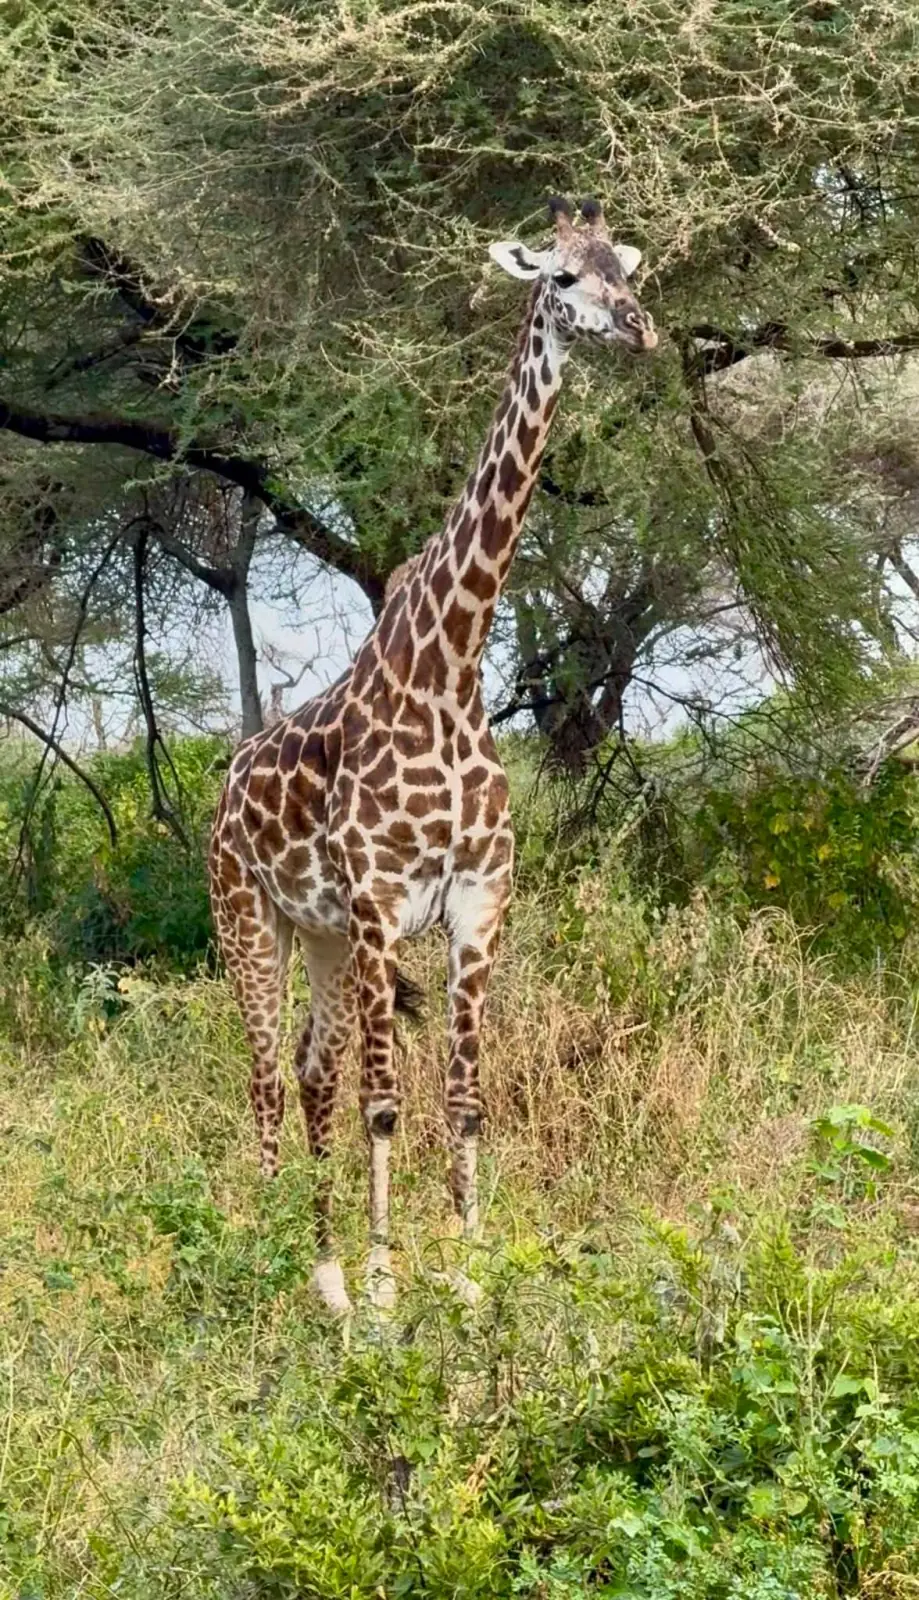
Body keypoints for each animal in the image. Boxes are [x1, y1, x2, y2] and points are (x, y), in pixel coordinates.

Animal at [209, 196, 658, 1314]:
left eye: (624, 270)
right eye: (560, 279)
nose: (638, 329)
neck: (450, 671)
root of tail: (222, 788)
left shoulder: (476, 904)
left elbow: (459, 1098)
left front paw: (463, 1275)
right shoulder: (378, 908)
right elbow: (384, 1099)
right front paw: (385, 1287)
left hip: (319, 939)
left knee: (310, 1066)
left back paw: (320, 1272)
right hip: (250, 922)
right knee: (267, 1075)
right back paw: (274, 1257)